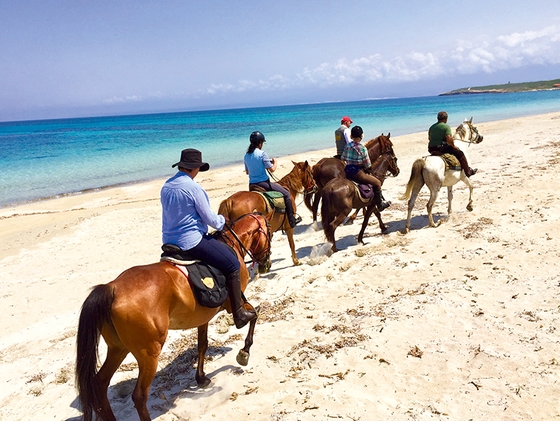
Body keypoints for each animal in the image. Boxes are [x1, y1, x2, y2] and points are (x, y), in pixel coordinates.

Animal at [75, 213, 272, 420]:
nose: (266, 262)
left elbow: (202, 345)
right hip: (148, 353)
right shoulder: (236, 305)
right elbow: (253, 316)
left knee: (99, 384)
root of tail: (112, 288)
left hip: (118, 349)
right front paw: (244, 353)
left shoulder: (203, 318)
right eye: (270, 231)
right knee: (139, 396)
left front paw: (201, 378)